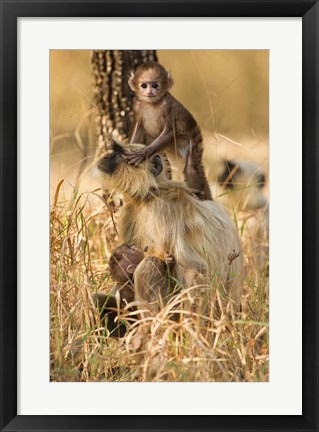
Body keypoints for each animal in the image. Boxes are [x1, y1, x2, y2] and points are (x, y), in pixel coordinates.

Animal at [126, 61, 214, 202]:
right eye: (144, 85)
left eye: (155, 85)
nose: (150, 91)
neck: (152, 104)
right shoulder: (137, 105)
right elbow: (138, 128)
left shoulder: (168, 107)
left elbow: (170, 131)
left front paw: (143, 154)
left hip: (194, 142)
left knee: (191, 168)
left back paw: (200, 195)